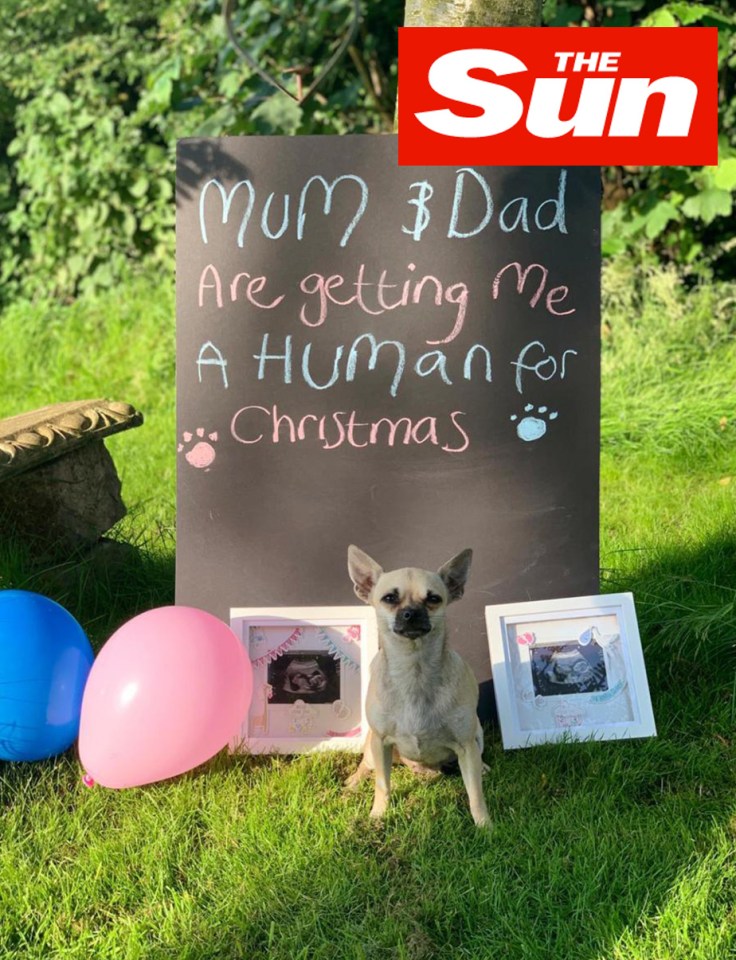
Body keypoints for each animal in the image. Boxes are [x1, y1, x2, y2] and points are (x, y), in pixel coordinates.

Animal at [344, 544, 488, 828]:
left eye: (433, 599)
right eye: (389, 598)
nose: (411, 613)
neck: (415, 670)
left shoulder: (466, 747)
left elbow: (475, 793)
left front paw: (486, 826)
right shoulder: (381, 743)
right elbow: (382, 785)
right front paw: (378, 815)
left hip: (478, 736)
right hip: (372, 748)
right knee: (367, 766)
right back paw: (354, 781)